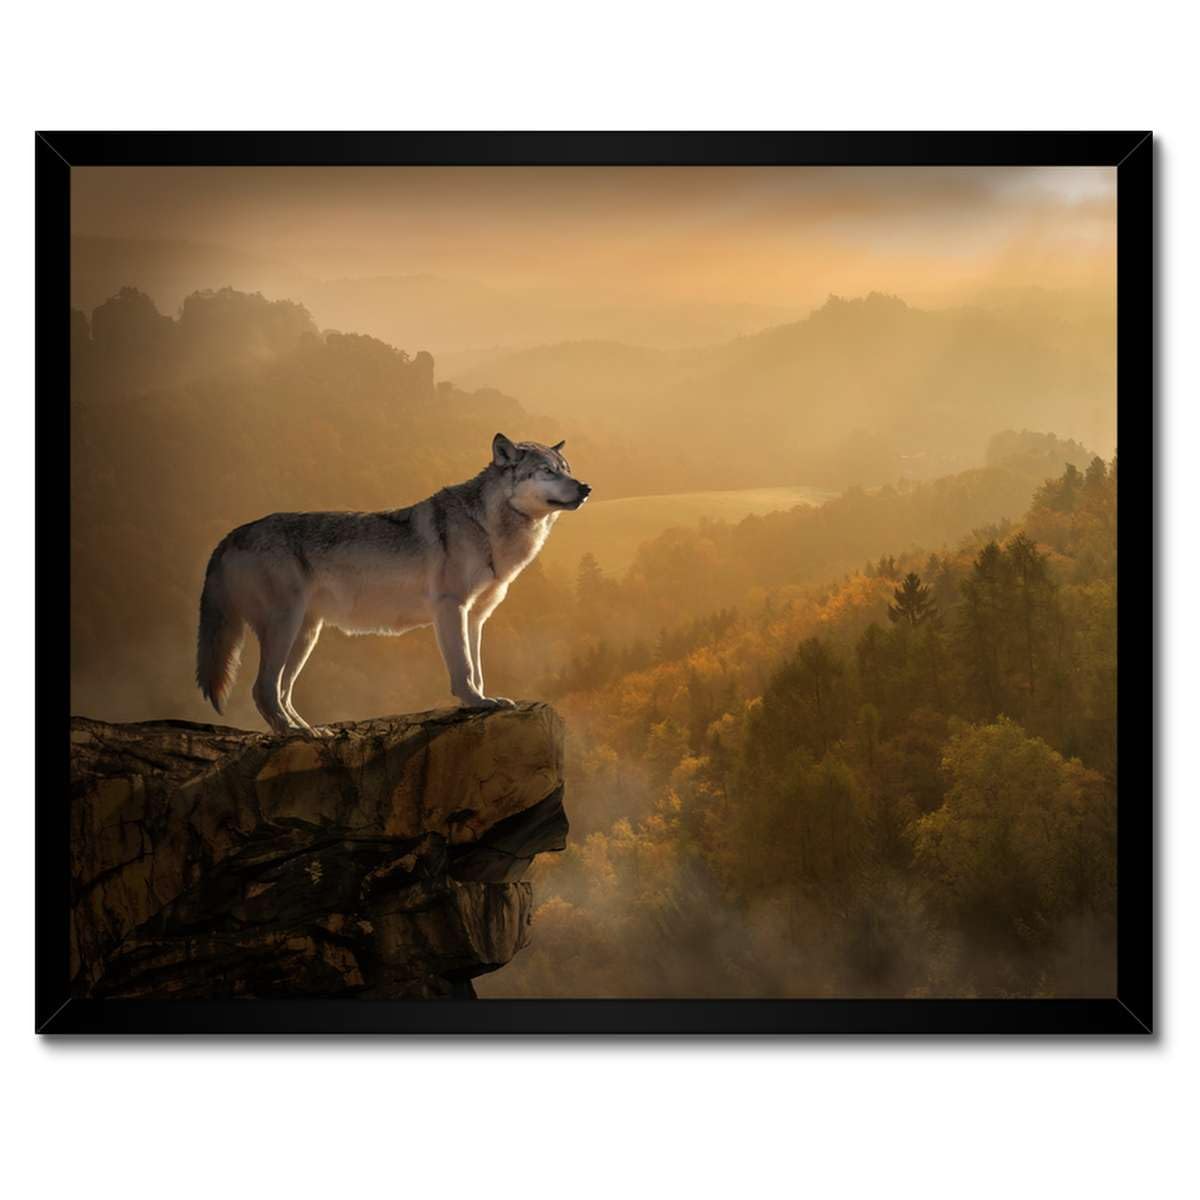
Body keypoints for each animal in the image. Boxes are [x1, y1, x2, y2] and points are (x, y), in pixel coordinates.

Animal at [195, 433, 590, 734]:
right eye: (547, 471)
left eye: (567, 470)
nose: (586, 488)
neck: (487, 527)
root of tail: (230, 536)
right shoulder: (451, 608)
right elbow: (463, 668)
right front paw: (475, 702)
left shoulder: (476, 617)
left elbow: (477, 668)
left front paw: (483, 700)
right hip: (286, 627)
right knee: (263, 689)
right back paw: (295, 734)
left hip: (306, 634)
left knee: (282, 691)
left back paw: (309, 730)